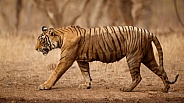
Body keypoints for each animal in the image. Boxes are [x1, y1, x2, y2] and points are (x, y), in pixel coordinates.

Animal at [35, 25, 178, 92]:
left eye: (41, 40)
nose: (36, 49)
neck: (60, 37)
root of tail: (148, 32)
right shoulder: (81, 60)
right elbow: (85, 73)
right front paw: (86, 85)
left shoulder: (66, 59)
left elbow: (55, 73)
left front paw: (45, 86)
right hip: (148, 57)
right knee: (161, 71)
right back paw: (165, 89)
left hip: (133, 57)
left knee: (138, 77)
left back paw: (127, 89)